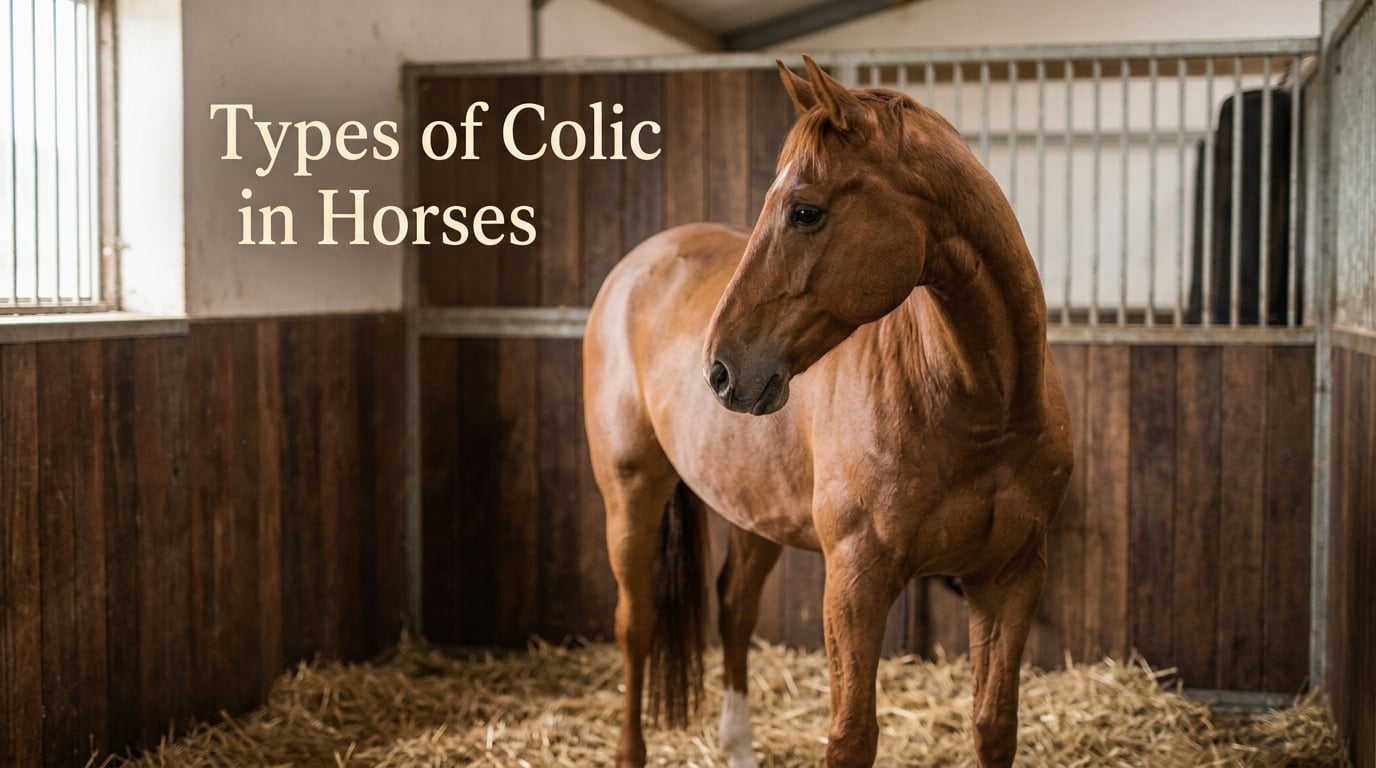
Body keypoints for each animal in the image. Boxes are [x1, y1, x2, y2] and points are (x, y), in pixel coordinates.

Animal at [582, 55, 1074, 768]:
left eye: (805, 212)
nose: (719, 369)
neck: (983, 408)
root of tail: (635, 266)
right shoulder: (855, 580)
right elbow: (851, 736)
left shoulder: (1008, 579)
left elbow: (993, 727)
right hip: (630, 491)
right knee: (636, 622)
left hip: (752, 510)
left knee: (734, 608)